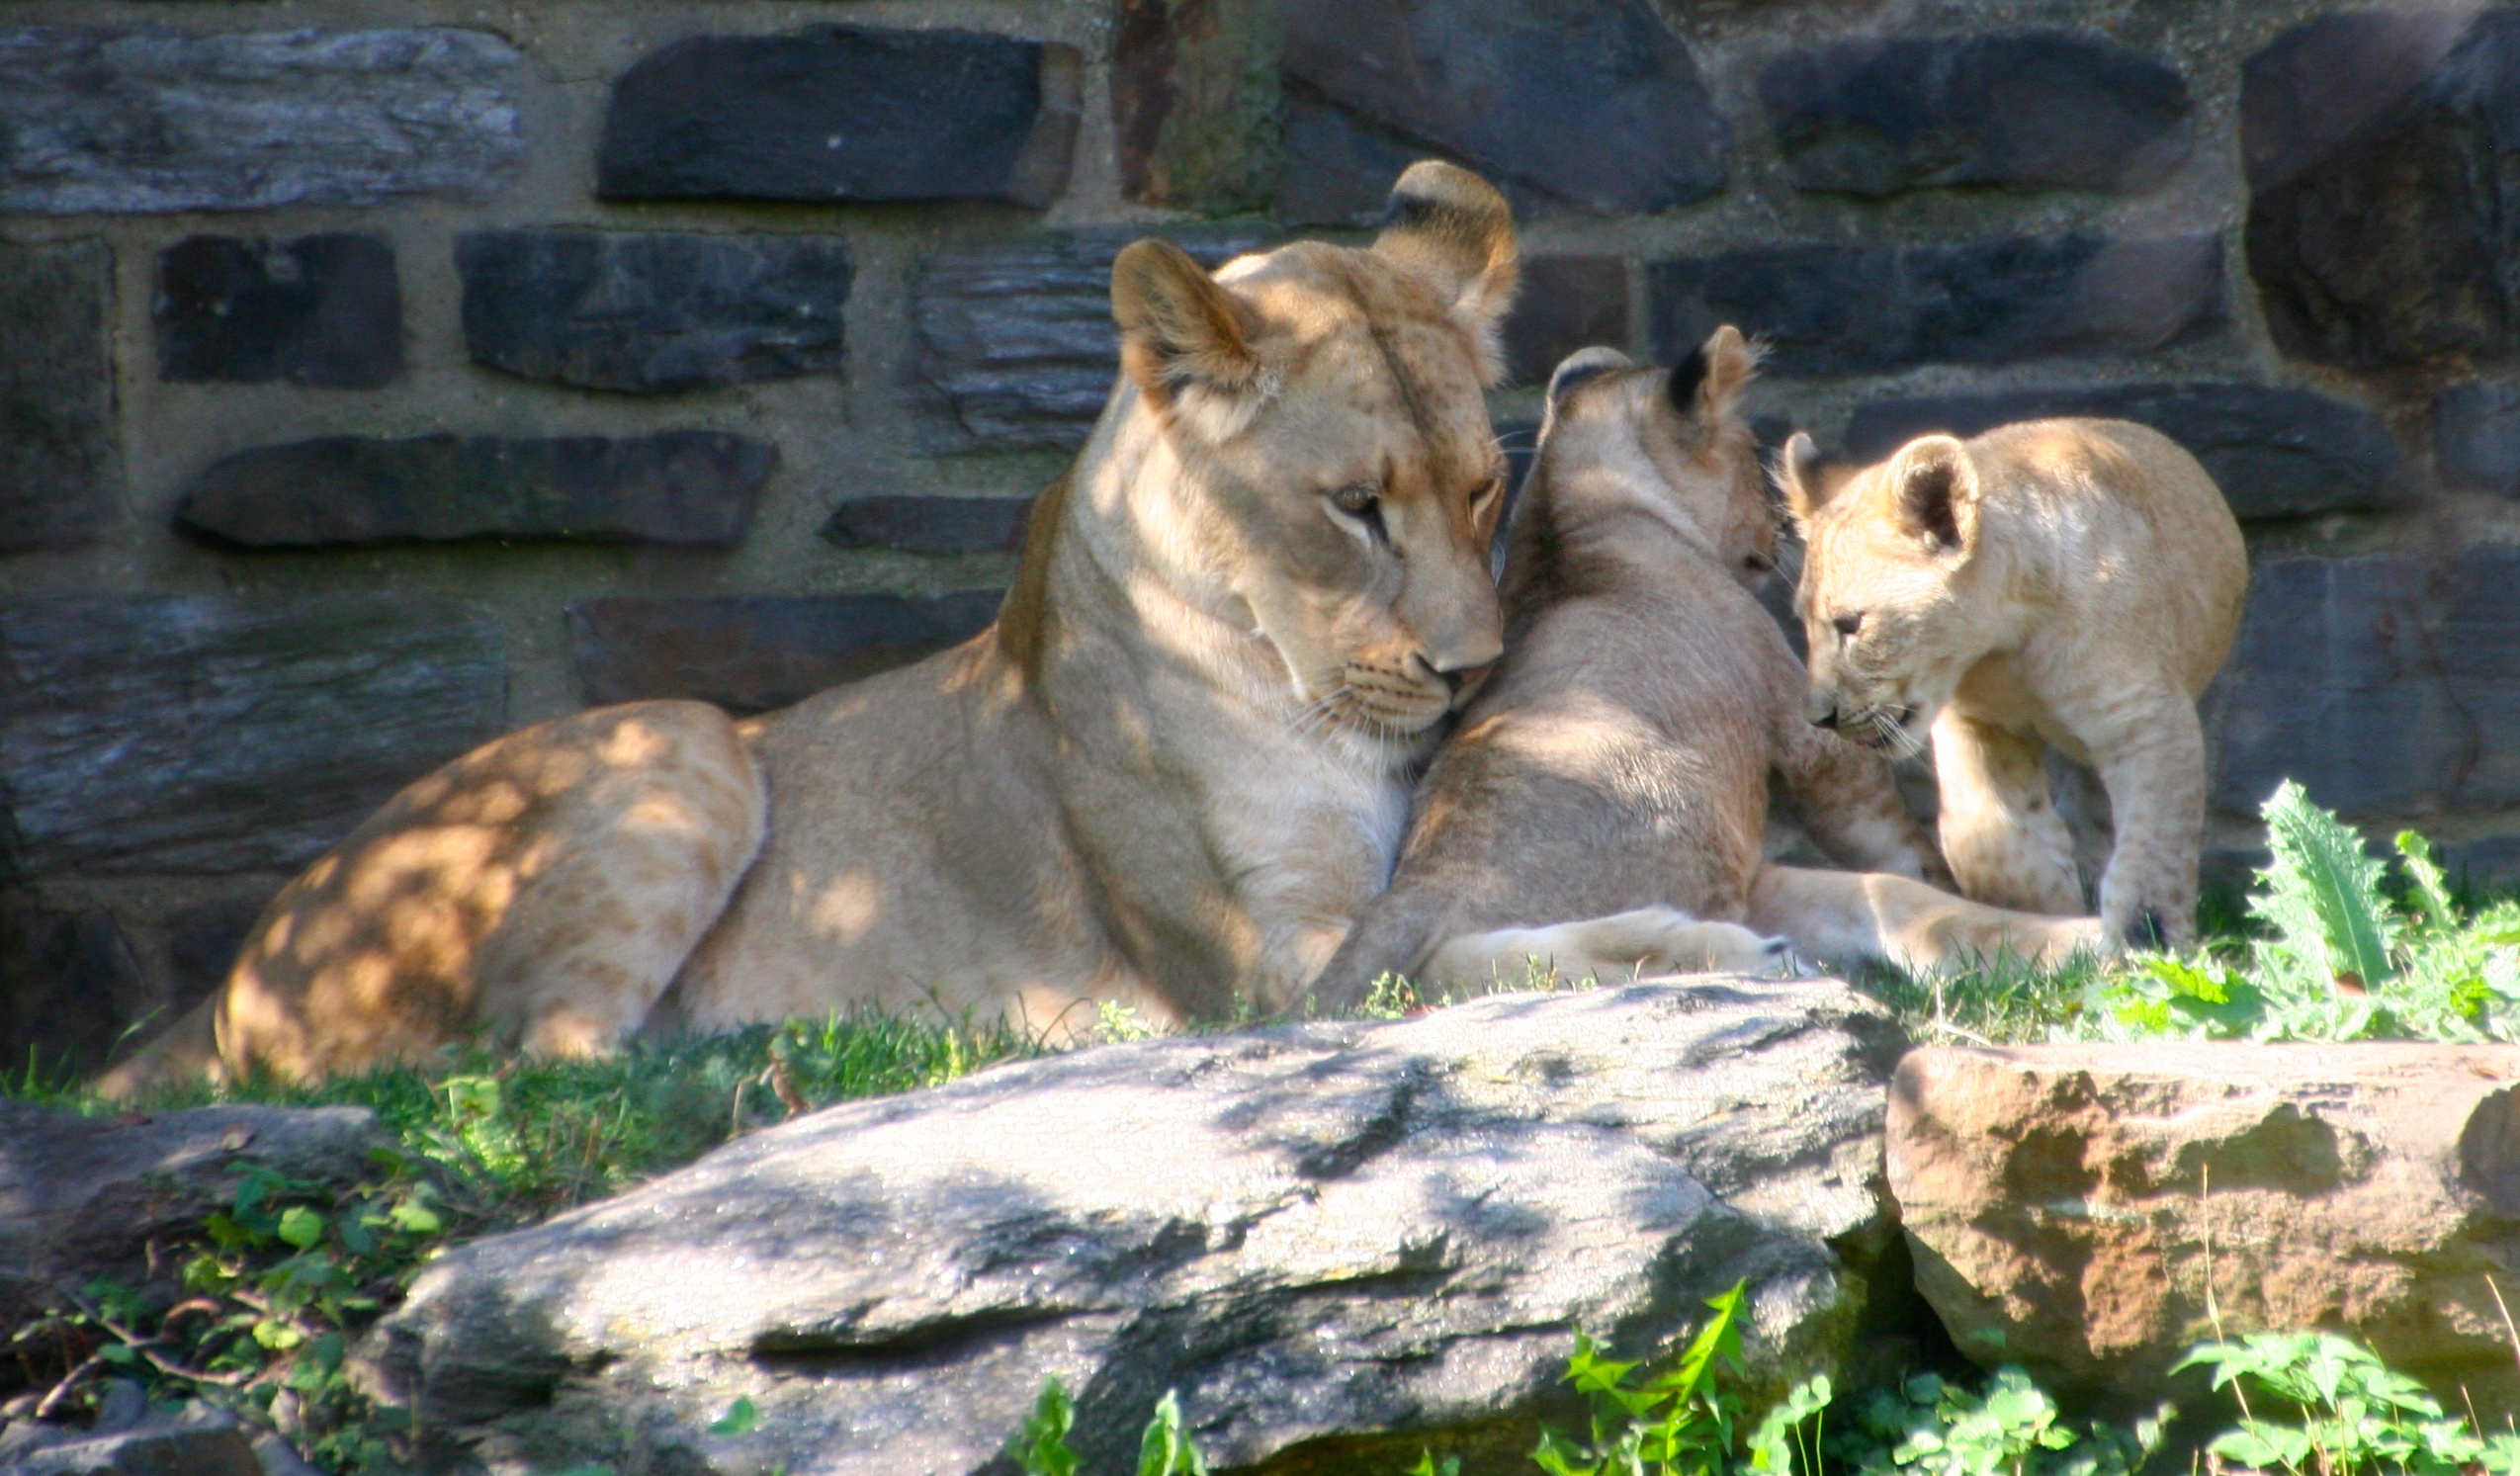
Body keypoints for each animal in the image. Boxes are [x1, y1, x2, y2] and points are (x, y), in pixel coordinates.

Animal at [100, 162, 1539, 1096]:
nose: (1474, 672)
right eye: (1354, 507)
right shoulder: (1275, 970)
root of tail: (230, 977)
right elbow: (1460, 961)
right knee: (528, 1063)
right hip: (682, 739)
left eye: (1480, 488)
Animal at [1307, 341, 2103, 1013]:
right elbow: (1883, 825)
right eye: (1750, 453)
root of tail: (1416, 891)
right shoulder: (1799, 724)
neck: (1572, 498)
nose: (1782, 525)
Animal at [1778, 418, 2249, 950]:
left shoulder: (2147, 718)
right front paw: (2045, 914)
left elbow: (2154, 852)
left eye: (1851, 625)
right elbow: (1988, 839)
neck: (2011, 637)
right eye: (1804, 623)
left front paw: (2142, 941)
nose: (1821, 717)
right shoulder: (1974, 721)